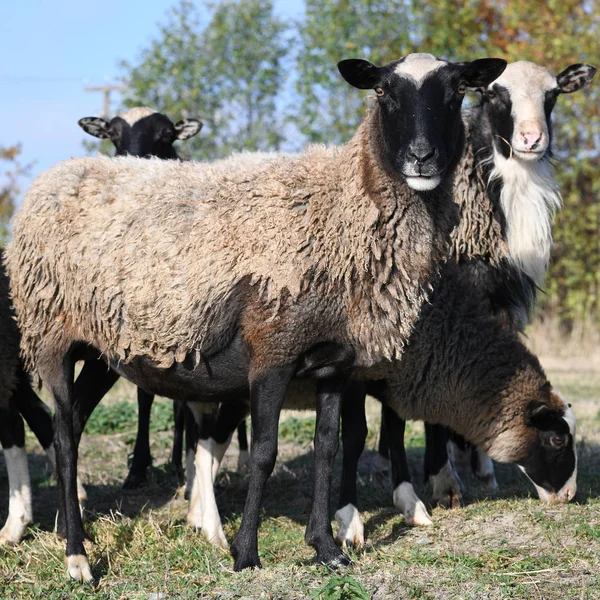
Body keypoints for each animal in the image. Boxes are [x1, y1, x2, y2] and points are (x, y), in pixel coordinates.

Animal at [9, 52, 506, 580]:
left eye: (457, 91)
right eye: (382, 91)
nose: (421, 157)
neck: (342, 207)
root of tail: (53, 176)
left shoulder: (334, 364)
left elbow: (328, 448)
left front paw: (326, 548)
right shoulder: (273, 352)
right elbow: (265, 453)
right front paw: (245, 554)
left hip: (105, 352)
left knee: (72, 428)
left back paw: (73, 532)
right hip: (50, 337)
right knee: (63, 436)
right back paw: (77, 557)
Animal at [338, 59, 596, 540]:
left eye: (552, 95)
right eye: (493, 94)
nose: (531, 140)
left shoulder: (496, 302)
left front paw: (477, 465)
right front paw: (443, 479)